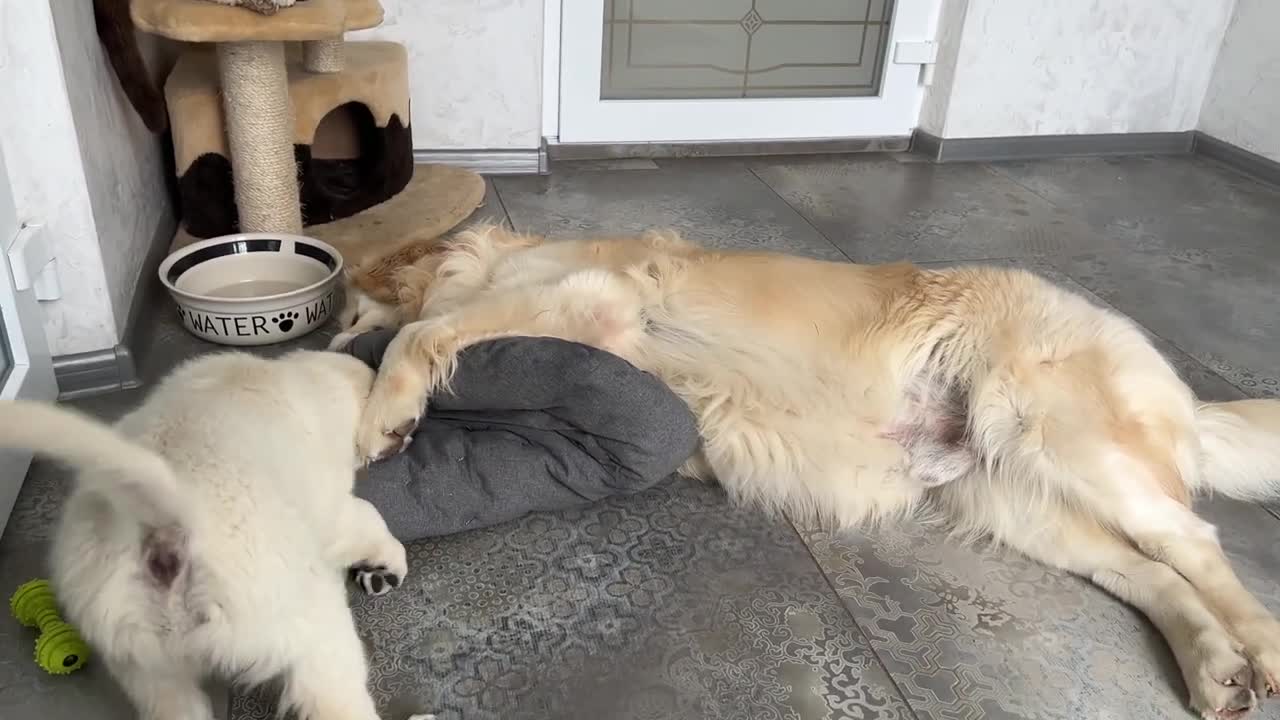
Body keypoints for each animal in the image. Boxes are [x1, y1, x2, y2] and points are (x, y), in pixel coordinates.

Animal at [0, 348, 432, 717]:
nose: (411, 433)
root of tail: (165, 521)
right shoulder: (334, 510)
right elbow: (371, 520)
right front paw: (390, 566)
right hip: (311, 627)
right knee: (334, 697)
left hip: (146, 666)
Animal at [335, 221, 1280, 712]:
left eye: (342, 312)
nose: (329, 343)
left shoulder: (587, 299)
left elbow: (425, 332)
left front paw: (382, 417)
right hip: (1020, 501)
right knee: (1147, 571)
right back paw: (1214, 666)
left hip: (1064, 437)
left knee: (1195, 543)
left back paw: (1262, 650)